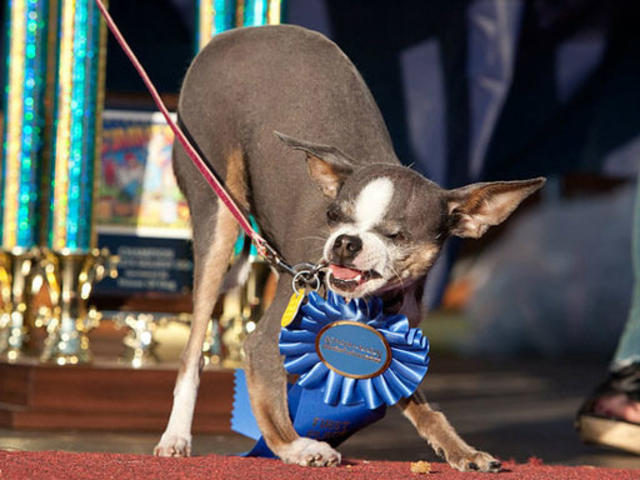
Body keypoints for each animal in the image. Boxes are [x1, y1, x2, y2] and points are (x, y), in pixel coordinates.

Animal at [155, 24, 544, 470]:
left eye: (397, 235)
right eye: (334, 215)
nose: (344, 242)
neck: (371, 304)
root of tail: (229, 36)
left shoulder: (396, 345)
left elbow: (425, 408)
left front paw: (462, 451)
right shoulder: (263, 342)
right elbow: (270, 405)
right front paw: (298, 447)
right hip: (216, 213)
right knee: (193, 351)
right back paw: (176, 436)